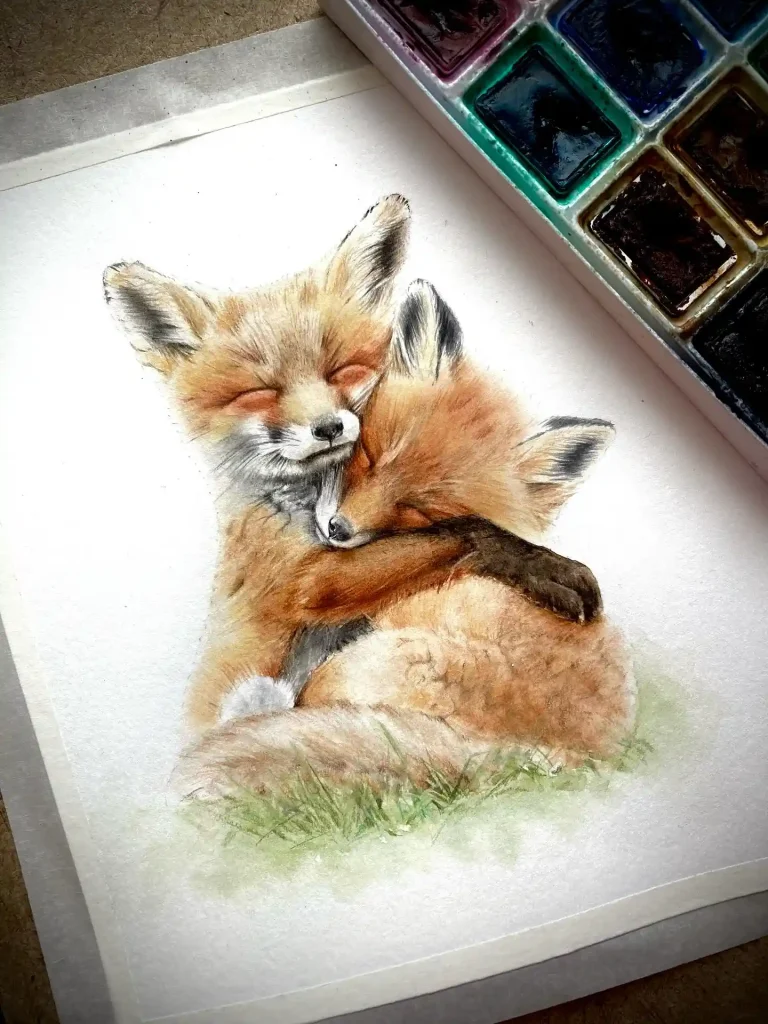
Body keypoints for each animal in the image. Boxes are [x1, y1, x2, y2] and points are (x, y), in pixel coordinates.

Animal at [104, 197, 599, 734]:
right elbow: (469, 531)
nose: (327, 428)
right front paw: (549, 570)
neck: (299, 504)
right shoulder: (304, 579)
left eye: (341, 370)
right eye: (260, 392)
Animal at [174, 282, 636, 802]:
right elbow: (477, 533)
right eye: (369, 455)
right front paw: (549, 568)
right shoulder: (308, 569)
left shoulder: (323, 575)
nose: (338, 529)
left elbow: (466, 530)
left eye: (418, 510)